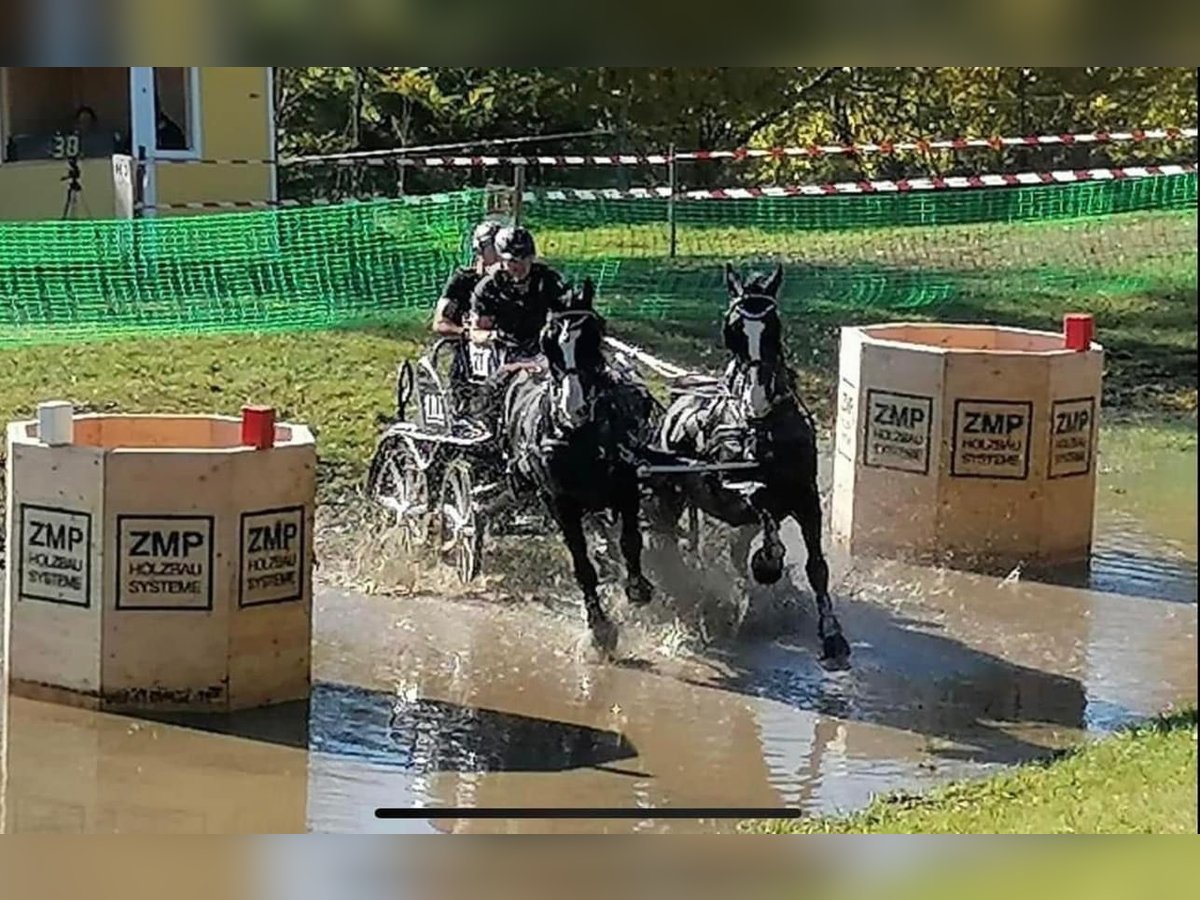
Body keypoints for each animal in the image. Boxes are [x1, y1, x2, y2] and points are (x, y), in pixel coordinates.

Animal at [501, 278, 662, 652]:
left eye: (593, 336)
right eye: (549, 343)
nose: (572, 408)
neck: (580, 438)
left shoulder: (627, 487)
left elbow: (630, 541)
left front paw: (637, 587)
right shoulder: (561, 504)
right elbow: (581, 564)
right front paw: (600, 627)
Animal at [648, 264, 854, 667]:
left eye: (774, 327)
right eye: (732, 330)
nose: (756, 398)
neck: (763, 428)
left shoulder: (807, 498)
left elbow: (817, 568)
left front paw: (833, 636)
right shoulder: (733, 493)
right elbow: (764, 514)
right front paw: (769, 563)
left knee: (733, 552)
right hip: (669, 497)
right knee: (669, 545)